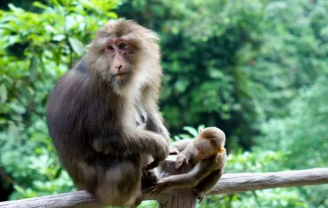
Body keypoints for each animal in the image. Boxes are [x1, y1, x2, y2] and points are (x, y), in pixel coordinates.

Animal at [46, 19, 169, 206]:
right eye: (110, 48)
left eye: (123, 45)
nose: (117, 65)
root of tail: (81, 185)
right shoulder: (102, 95)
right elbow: (105, 139)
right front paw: (160, 146)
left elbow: (148, 112)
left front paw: (165, 140)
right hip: (102, 186)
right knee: (129, 158)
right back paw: (129, 199)